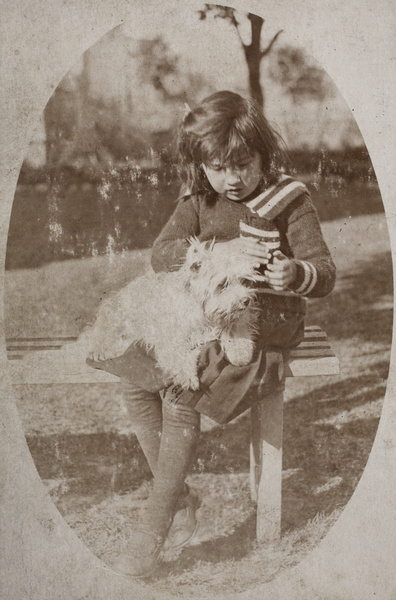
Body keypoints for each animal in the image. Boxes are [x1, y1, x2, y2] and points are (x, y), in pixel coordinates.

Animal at [81, 237, 260, 392]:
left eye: (243, 280)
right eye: (222, 284)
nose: (246, 300)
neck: (202, 312)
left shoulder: (234, 317)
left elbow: (236, 327)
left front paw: (240, 350)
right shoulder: (170, 338)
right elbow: (178, 356)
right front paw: (187, 376)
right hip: (116, 317)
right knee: (100, 334)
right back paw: (99, 349)